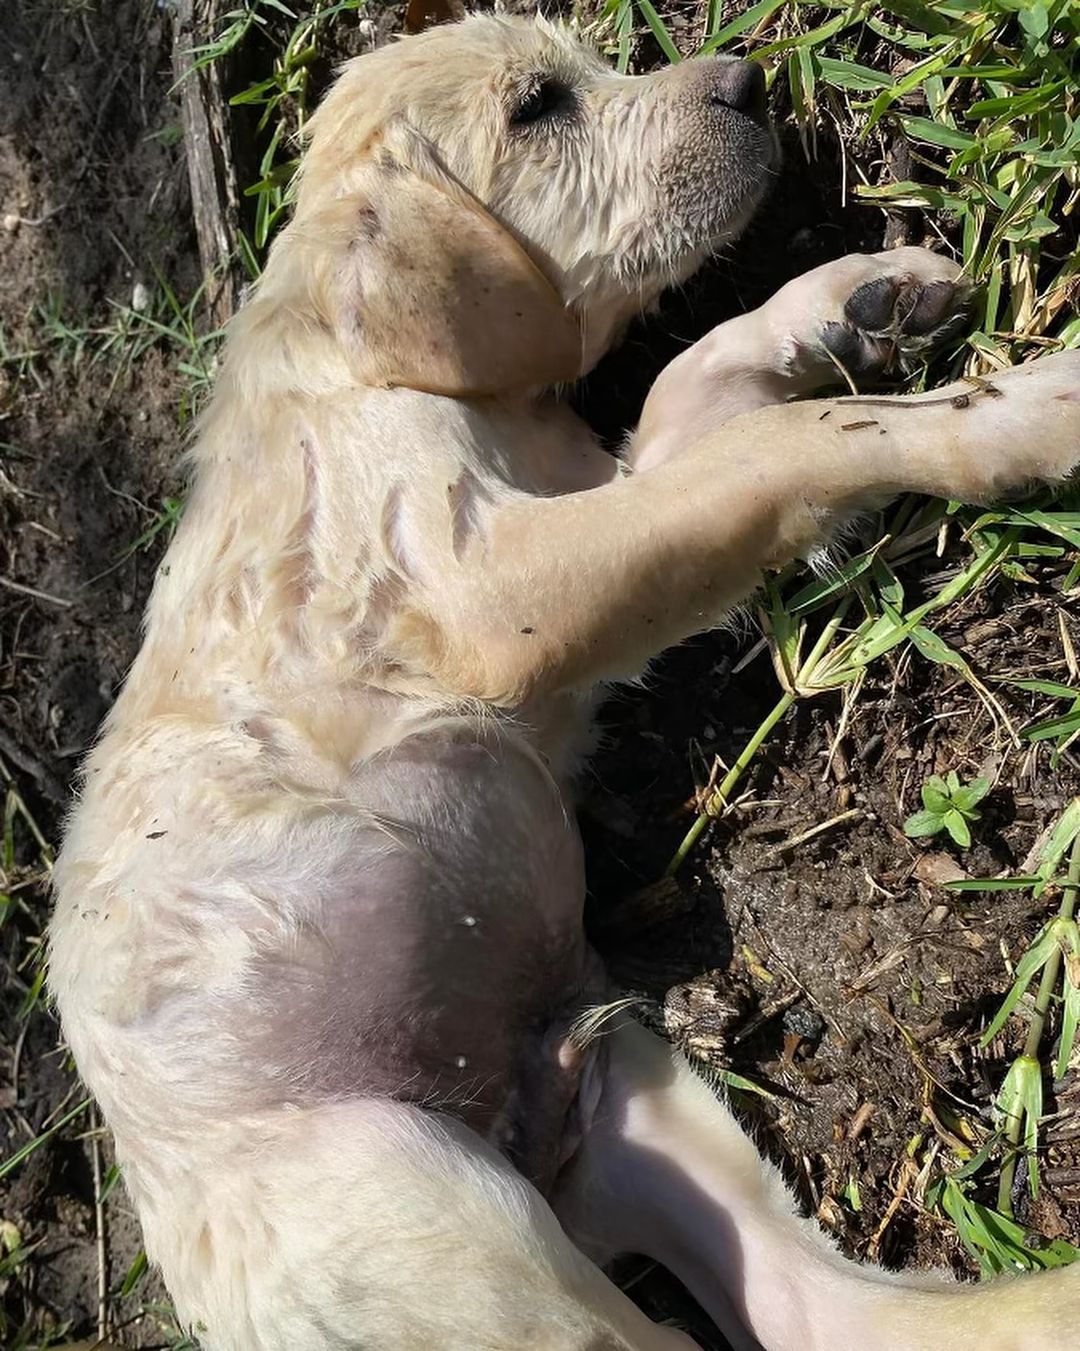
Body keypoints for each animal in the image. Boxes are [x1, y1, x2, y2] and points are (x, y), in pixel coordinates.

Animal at [48, 13, 1080, 1351]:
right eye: (539, 106)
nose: (751, 80)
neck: (387, 372)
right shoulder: (495, 591)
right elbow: (788, 445)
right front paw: (1011, 413)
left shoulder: (606, 484)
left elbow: (710, 382)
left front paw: (858, 299)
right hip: (435, 1220)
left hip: (634, 1103)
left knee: (827, 1313)